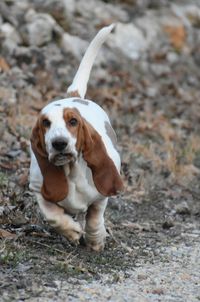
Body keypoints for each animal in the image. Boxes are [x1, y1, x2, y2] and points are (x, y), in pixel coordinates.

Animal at [29, 23, 123, 251]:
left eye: (73, 121)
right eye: (45, 123)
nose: (59, 143)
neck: (71, 172)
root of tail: (74, 96)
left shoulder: (101, 195)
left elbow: (95, 216)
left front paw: (95, 240)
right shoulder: (37, 189)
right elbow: (52, 215)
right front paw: (71, 232)